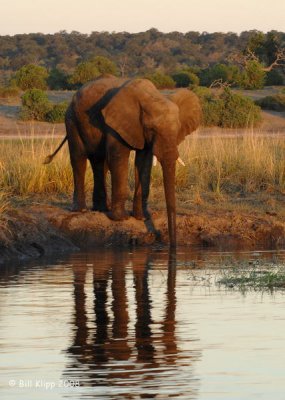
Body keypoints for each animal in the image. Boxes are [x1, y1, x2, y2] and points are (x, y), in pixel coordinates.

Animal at [44, 73, 201, 245]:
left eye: (178, 129)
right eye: (151, 129)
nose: (171, 244)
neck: (152, 97)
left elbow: (143, 163)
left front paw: (142, 217)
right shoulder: (116, 124)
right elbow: (118, 158)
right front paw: (121, 219)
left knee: (99, 162)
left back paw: (101, 209)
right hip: (72, 120)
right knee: (79, 159)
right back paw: (81, 210)